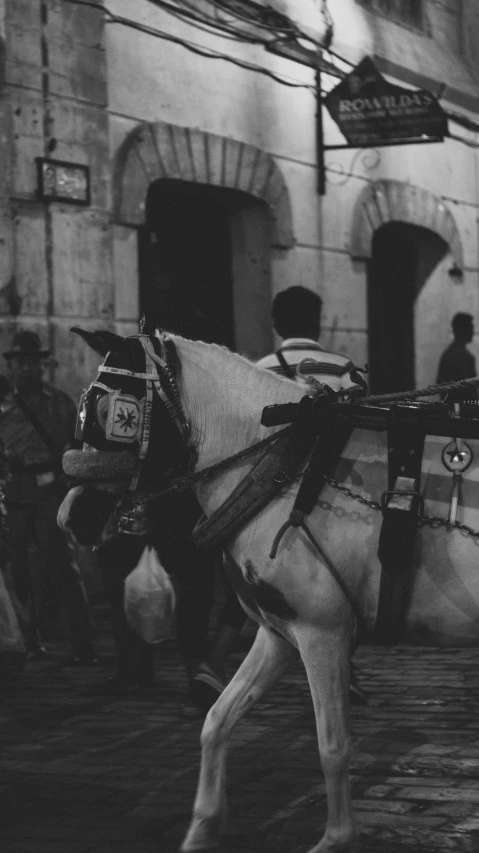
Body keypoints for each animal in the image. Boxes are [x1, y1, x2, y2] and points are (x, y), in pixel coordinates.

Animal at [59, 332, 479, 852]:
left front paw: (337, 838)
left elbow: (333, 744)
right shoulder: (280, 634)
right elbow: (218, 720)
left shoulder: (322, 634)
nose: (71, 518)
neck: (285, 465)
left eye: (110, 412)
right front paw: (202, 827)